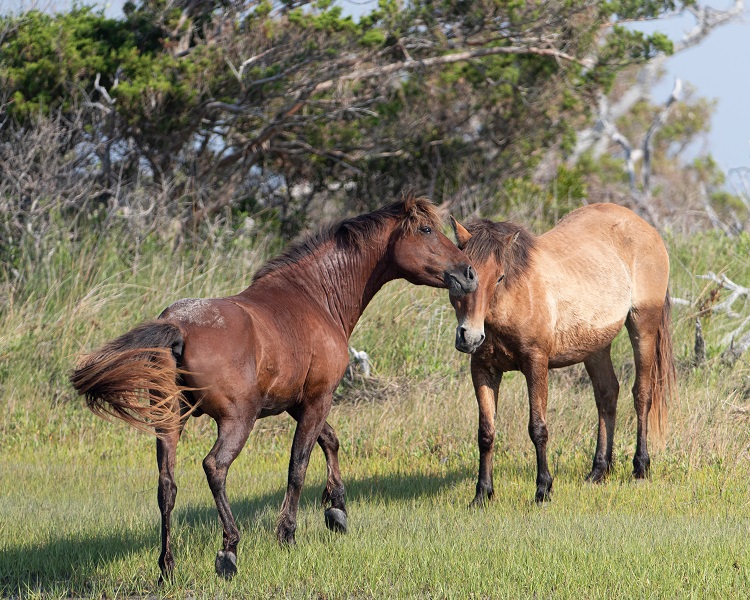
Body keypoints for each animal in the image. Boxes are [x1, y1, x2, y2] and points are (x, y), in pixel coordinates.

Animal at [70, 198, 476, 580]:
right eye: (425, 229)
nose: (469, 273)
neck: (314, 296)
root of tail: (177, 327)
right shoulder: (317, 400)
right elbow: (299, 465)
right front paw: (288, 534)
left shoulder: (298, 402)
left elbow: (330, 441)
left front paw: (336, 509)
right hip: (237, 421)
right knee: (214, 467)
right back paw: (229, 549)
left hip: (169, 423)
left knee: (167, 486)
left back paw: (166, 567)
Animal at [450, 204, 680, 504]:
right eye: (458, 277)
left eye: (499, 277)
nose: (470, 336)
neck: (514, 298)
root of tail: (645, 226)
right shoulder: (483, 369)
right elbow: (486, 433)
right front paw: (482, 494)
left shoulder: (536, 364)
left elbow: (538, 428)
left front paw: (543, 489)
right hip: (596, 347)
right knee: (607, 395)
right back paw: (598, 471)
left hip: (643, 327)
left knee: (641, 394)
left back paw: (640, 467)